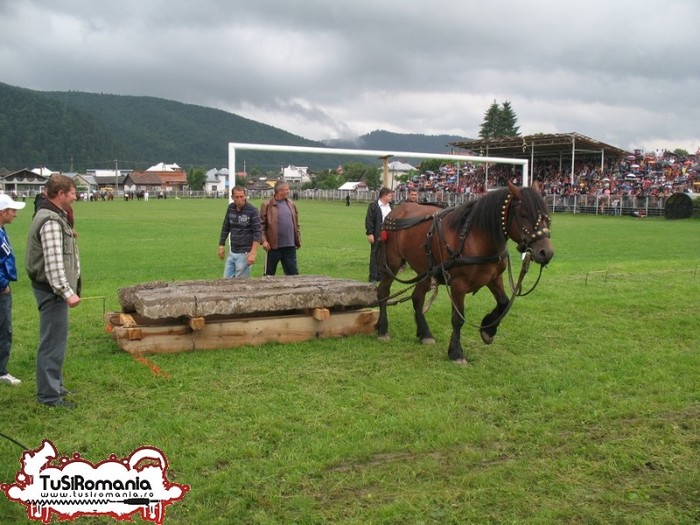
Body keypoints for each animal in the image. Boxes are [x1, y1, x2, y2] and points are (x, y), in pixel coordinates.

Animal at [374, 179, 556, 360]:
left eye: (546, 216)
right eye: (524, 215)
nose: (546, 252)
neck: (477, 237)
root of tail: (393, 213)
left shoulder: (494, 277)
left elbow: (504, 303)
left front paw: (488, 330)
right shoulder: (458, 284)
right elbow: (458, 318)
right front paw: (456, 352)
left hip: (426, 271)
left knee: (417, 297)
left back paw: (425, 334)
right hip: (392, 263)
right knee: (383, 291)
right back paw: (382, 329)